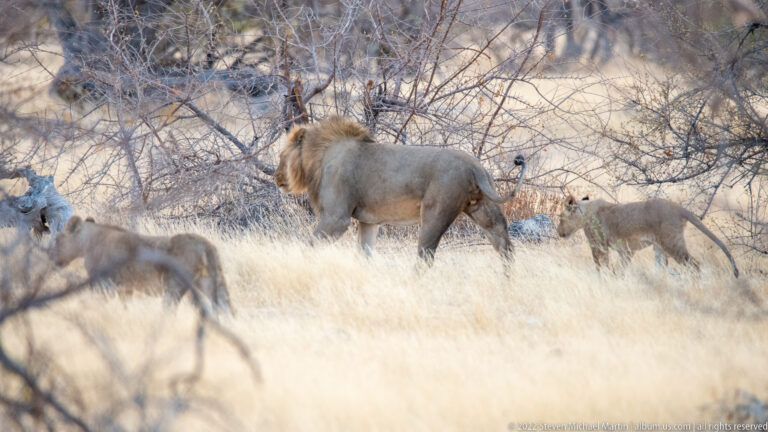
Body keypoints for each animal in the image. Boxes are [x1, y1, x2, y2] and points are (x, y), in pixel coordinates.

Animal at [53, 216, 233, 314]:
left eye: (58, 240)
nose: (52, 257)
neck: (87, 243)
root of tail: (206, 245)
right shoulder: (125, 287)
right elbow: (126, 307)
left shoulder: (105, 284)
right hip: (212, 281)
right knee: (225, 307)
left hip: (175, 285)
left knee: (169, 310)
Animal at [274, 117, 526, 263]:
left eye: (281, 155)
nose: (276, 178)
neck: (317, 158)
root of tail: (476, 167)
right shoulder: (368, 222)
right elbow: (363, 255)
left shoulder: (336, 218)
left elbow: (309, 246)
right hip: (483, 209)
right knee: (504, 245)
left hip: (435, 212)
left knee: (425, 257)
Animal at [556, 195, 739, 277]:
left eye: (560, 217)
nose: (558, 232)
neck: (585, 212)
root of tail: (679, 208)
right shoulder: (625, 250)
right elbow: (620, 268)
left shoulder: (598, 246)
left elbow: (601, 266)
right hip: (659, 248)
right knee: (661, 268)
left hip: (672, 243)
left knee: (694, 264)